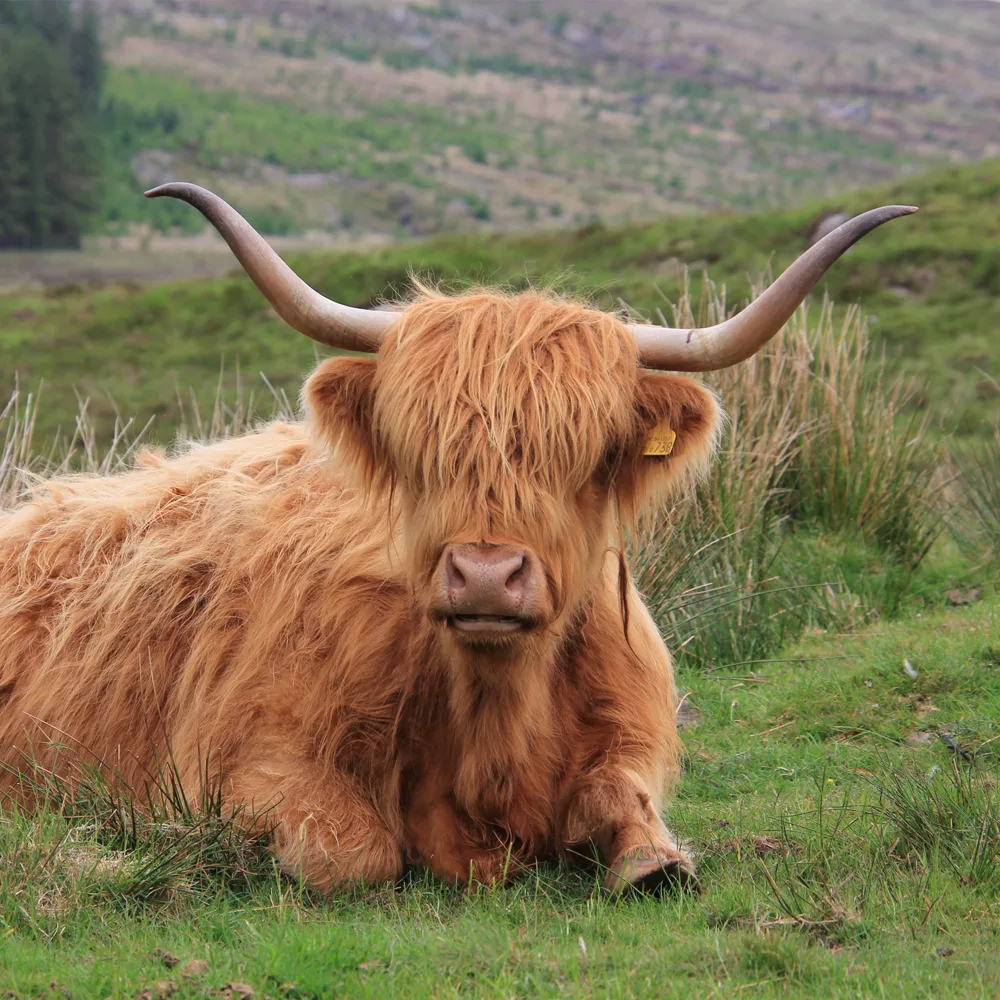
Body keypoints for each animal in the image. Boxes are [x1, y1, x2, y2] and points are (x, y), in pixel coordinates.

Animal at [0, 188, 916, 892]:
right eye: (422, 449)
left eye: (584, 455)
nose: (483, 575)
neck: (495, 718)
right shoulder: (251, 755)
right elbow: (351, 855)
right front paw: (173, 839)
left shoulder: (632, 739)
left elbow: (636, 825)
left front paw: (652, 861)